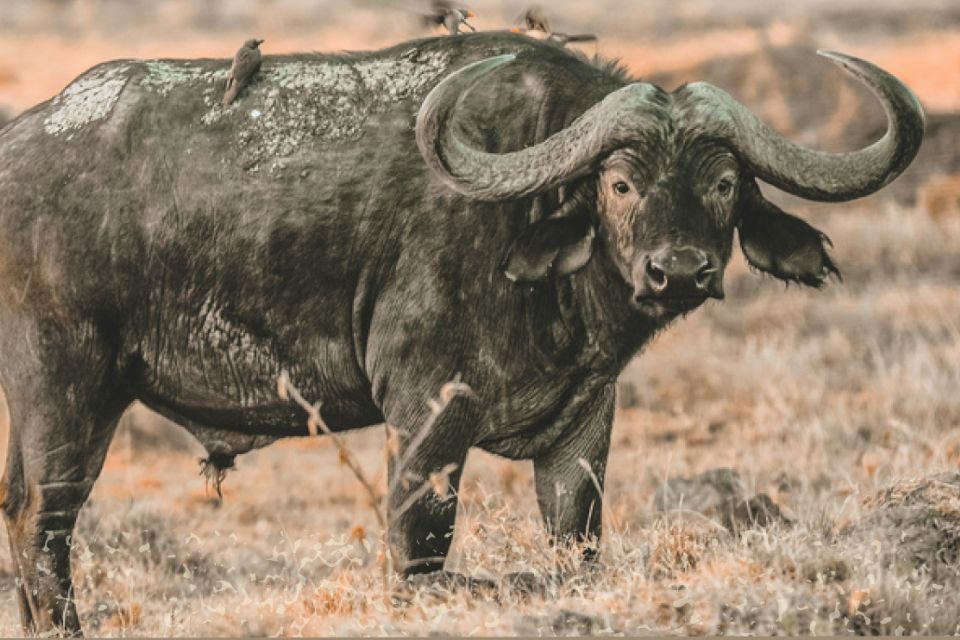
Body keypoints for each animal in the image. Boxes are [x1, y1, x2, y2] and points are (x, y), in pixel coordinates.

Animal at [0, 32, 922, 634]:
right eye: (620, 183)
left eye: (726, 182)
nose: (681, 271)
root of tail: (20, 141)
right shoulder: (428, 413)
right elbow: (421, 545)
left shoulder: (585, 424)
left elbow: (577, 541)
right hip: (66, 388)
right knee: (45, 522)